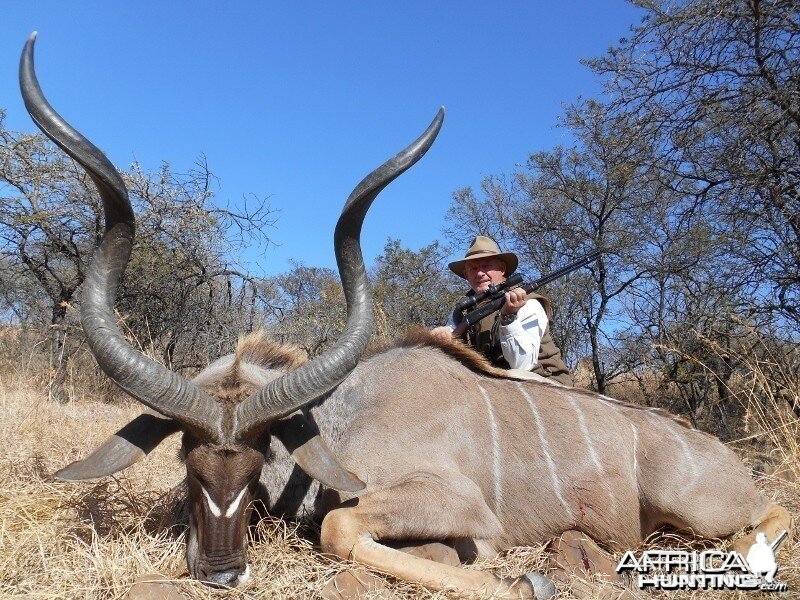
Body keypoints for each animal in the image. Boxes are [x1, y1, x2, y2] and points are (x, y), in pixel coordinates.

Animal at [21, 34, 792, 600]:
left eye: (259, 457)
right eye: (188, 463)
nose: (221, 573)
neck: (344, 419)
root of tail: (725, 458)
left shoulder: (457, 505)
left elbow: (339, 529)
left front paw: (520, 577)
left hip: (702, 506)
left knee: (766, 515)